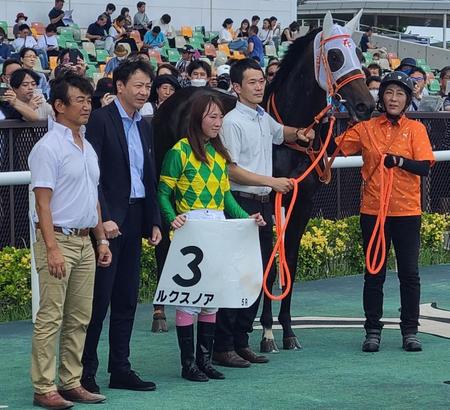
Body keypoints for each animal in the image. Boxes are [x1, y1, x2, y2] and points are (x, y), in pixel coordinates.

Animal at [151, 11, 376, 350]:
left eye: (360, 56)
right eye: (335, 56)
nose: (367, 105)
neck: (288, 138)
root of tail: (178, 97)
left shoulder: (302, 202)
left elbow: (289, 262)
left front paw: (289, 331)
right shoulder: (269, 202)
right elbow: (268, 265)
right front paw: (268, 332)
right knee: (164, 242)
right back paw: (162, 312)